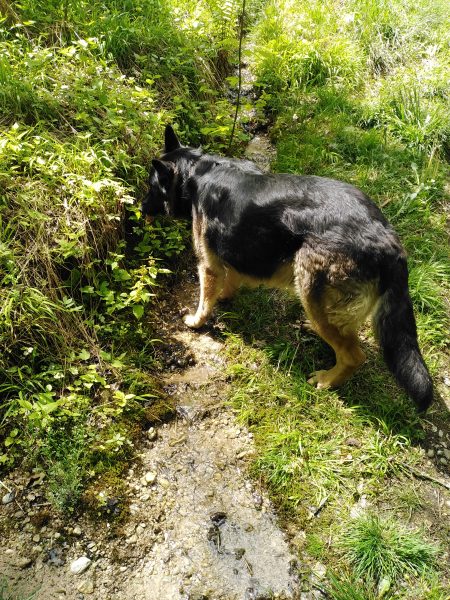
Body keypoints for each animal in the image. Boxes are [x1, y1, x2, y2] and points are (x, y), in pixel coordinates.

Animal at [141, 125, 433, 412]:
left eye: (150, 186)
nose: (141, 208)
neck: (197, 171)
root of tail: (388, 241)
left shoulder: (208, 265)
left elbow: (205, 299)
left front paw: (196, 320)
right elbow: (230, 280)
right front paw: (225, 297)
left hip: (311, 289)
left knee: (354, 356)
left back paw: (327, 380)